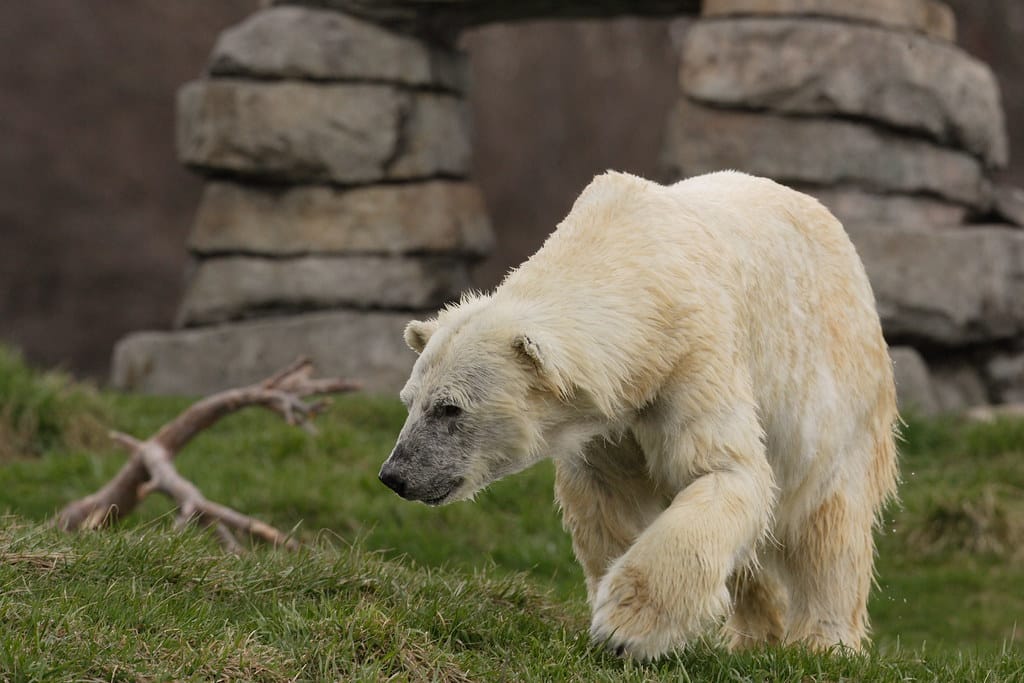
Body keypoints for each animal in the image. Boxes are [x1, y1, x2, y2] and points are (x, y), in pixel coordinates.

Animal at [379, 170, 899, 659]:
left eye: (450, 407)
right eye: (409, 400)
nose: (395, 474)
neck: (635, 256)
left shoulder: (694, 354)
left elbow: (723, 471)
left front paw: (626, 629)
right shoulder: (608, 421)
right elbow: (609, 502)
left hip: (833, 382)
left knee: (826, 521)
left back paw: (823, 640)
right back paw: (753, 635)